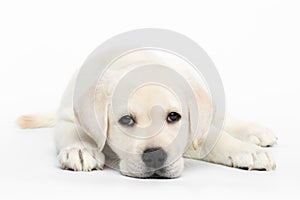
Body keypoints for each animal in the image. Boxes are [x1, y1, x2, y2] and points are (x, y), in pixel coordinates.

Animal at [17, 49, 278, 178]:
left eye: (173, 116)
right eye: (126, 120)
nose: (155, 157)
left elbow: (215, 138)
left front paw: (248, 152)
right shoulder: (67, 115)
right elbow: (74, 132)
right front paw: (80, 151)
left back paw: (256, 132)